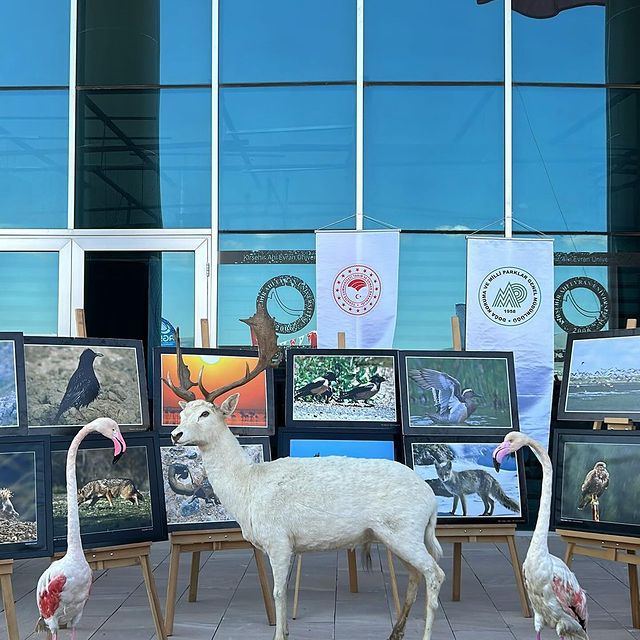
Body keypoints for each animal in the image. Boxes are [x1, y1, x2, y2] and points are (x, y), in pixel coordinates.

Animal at [162, 306, 444, 640]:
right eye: (183, 412)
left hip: (404, 529)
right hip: (400, 535)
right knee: (415, 575)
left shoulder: (279, 538)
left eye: (205, 413)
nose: (176, 434)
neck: (247, 489)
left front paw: (279, 633)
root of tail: (432, 501)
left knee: (434, 573)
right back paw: (395, 632)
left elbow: (278, 593)